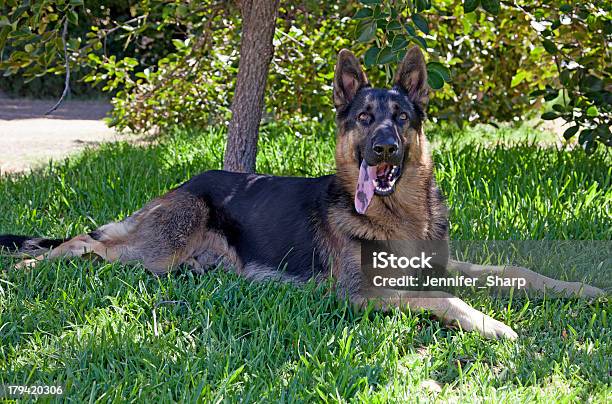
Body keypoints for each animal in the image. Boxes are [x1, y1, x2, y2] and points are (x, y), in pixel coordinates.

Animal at [0, 47, 604, 340]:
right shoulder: (361, 294)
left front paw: (581, 290)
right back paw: (30, 268)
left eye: (401, 119)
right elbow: (447, 300)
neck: (400, 213)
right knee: (85, 242)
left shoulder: (440, 265)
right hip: (158, 248)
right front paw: (494, 324)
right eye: (363, 118)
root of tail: (183, 184)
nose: (383, 150)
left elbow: (517, 272)